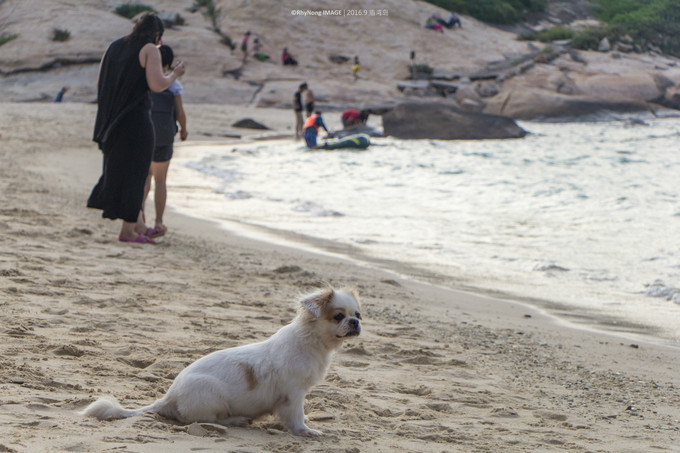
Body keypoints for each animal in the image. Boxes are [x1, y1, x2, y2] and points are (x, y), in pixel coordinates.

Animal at [81, 284, 362, 436]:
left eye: (357, 314)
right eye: (338, 316)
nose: (355, 322)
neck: (311, 341)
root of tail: (168, 398)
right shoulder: (294, 394)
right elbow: (296, 416)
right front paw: (305, 431)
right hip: (212, 396)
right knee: (205, 420)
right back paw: (237, 420)